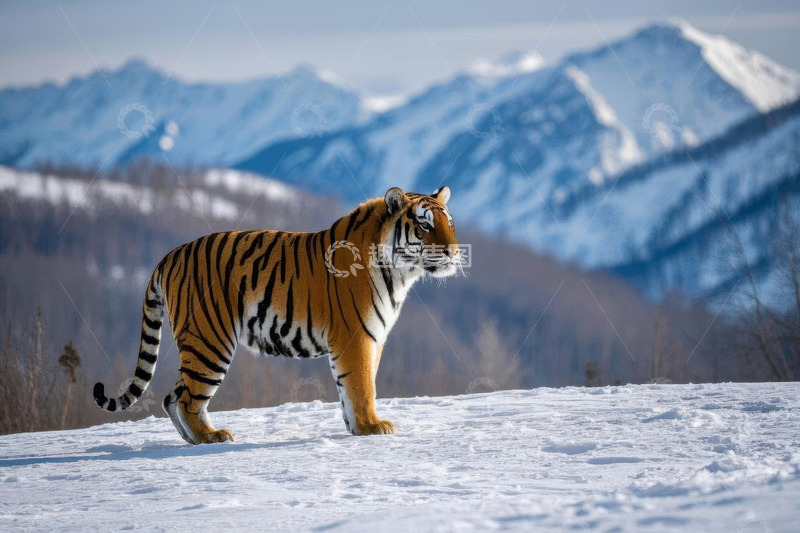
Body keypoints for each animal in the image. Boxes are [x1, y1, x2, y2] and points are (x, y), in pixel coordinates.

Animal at [93, 185, 461, 444]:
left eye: (449, 223)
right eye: (424, 225)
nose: (455, 252)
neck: (400, 274)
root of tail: (170, 254)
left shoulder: (373, 338)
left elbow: (353, 386)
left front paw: (357, 427)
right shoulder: (355, 336)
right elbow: (361, 384)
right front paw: (372, 427)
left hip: (198, 343)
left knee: (172, 396)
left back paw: (192, 439)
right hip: (210, 341)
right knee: (186, 399)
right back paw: (212, 437)